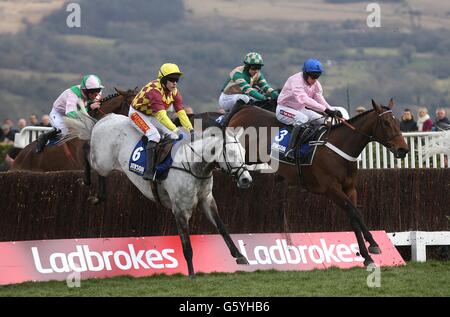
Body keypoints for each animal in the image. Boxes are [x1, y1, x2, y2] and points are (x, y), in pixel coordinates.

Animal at [62, 112, 253, 276]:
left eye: (244, 152)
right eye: (231, 153)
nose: (246, 179)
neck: (194, 165)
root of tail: (105, 119)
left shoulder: (206, 200)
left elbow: (222, 228)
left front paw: (240, 256)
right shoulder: (180, 209)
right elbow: (186, 244)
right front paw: (191, 274)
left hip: (104, 163)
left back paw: (98, 197)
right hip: (102, 160)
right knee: (87, 150)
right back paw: (85, 180)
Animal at [223, 98, 410, 264]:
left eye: (397, 122)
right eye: (386, 123)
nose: (403, 149)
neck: (340, 148)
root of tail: (244, 108)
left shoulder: (350, 189)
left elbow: (353, 218)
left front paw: (367, 257)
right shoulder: (331, 189)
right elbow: (356, 213)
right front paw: (374, 244)